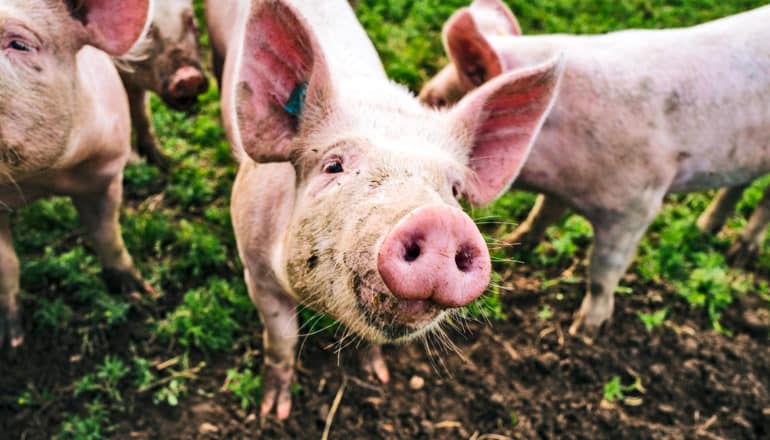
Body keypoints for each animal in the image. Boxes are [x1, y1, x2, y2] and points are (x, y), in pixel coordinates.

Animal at [0, 0, 154, 350]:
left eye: (20, 44)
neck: (42, 179)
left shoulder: (106, 170)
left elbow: (106, 232)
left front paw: (139, 294)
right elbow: (6, 264)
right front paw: (13, 343)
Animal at [118, 0, 207, 169]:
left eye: (190, 20)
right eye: (145, 31)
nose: (188, 76)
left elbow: (142, 114)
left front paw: (163, 163)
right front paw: (137, 162)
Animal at [207, 0, 560, 420]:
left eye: (454, 189)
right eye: (333, 166)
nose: (441, 221)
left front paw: (378, 376)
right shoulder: (256, 269)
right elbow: (283, 337)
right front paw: (274, 411)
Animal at [416, 0, 768, 336]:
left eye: (436, 101)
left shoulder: (636, 205)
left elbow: (603, 269)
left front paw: (584, 329)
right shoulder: (561, 190)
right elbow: (542, 214)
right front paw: (517, 240)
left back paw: (739, 253)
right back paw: (704, 228)